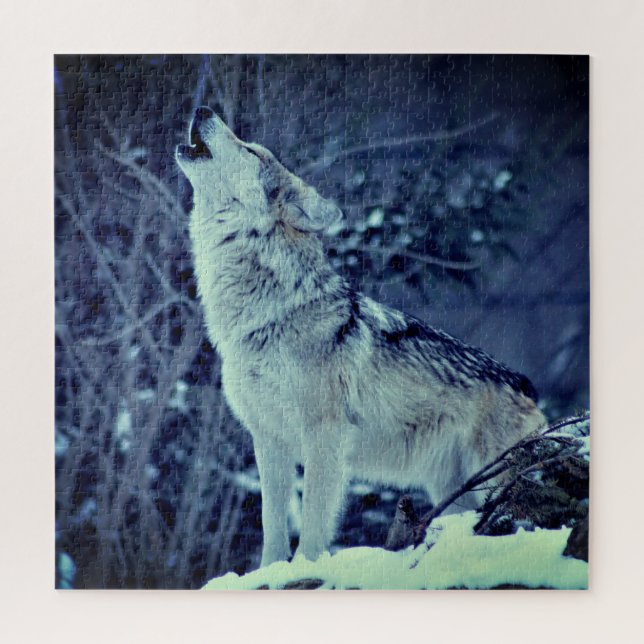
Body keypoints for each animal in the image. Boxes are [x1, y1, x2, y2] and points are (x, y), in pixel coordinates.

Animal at [176, 106, 547, 567]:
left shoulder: (325, 435)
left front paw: (306, 567)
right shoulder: (268, 439)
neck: (267, 315)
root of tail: (525, 384)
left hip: (489, 480)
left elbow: (314, 522)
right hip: (452, 491)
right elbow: (271, 525)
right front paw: (268, 572)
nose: (202, 109)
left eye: (251, 150)